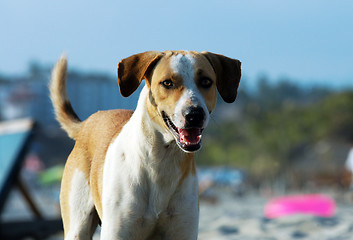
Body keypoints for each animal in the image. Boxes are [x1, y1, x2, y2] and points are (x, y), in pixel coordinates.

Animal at [49, 49, 241, 239]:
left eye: (206, 81)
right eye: (167, 83)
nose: (194, 114)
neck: (161, 160)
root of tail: (87, 122)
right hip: (78, 223)